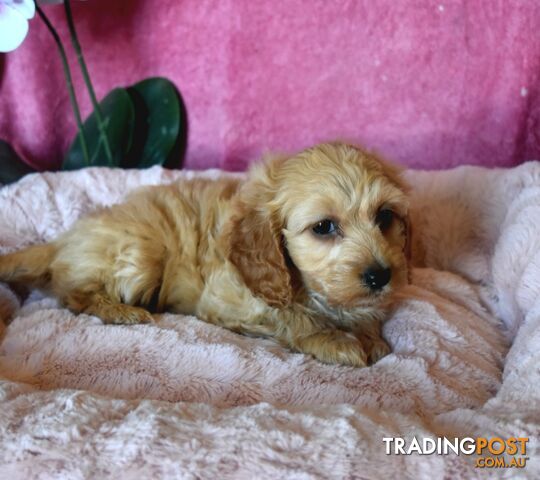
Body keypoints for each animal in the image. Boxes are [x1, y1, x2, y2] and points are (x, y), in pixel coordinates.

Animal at [0, 142, 410, 368]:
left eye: (384, 217)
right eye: (324, 227)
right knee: (73, 294)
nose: (380, 275)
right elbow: (292, 317)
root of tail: (63, 240)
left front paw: (368, 333)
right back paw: (122, 311)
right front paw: (335, 340)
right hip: (142, 254)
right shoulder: (227, 300)